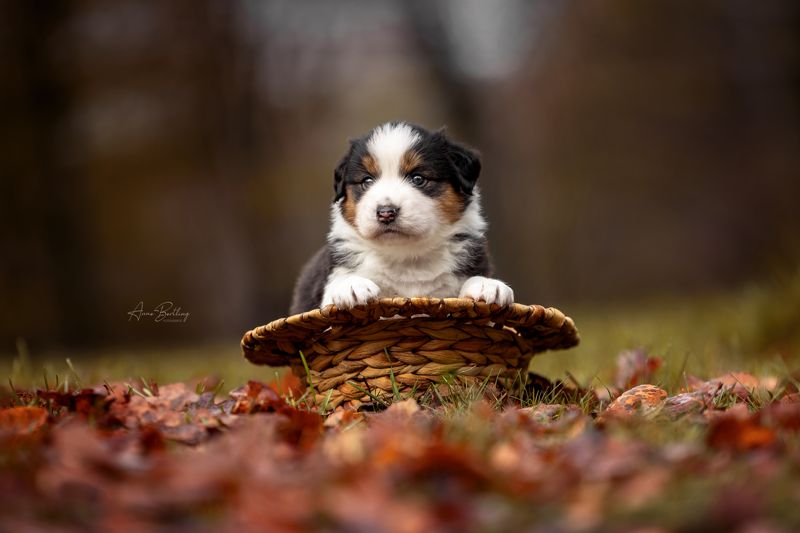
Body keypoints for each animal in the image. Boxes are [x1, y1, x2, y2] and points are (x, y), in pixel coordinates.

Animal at [290, 122, 513, 314]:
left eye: (418, 179)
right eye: (367, 181)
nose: (386, 212)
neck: (406, 256)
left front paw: (487, 285)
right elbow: (335, 289)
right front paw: (351, 286)